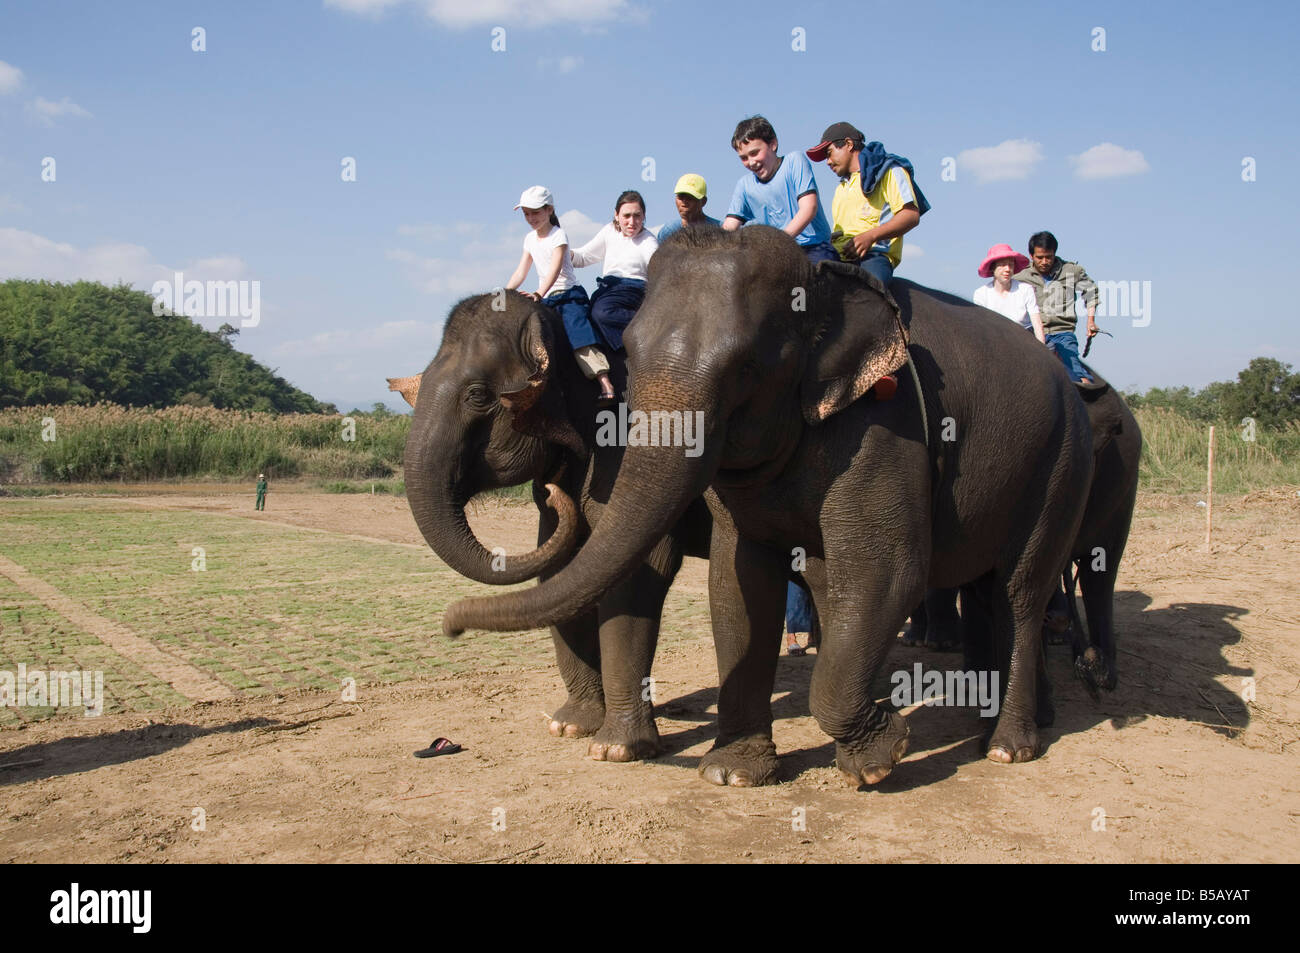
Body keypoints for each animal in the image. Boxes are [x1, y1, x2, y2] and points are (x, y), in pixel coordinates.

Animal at [400, 288, 712, 759]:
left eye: (477, 395)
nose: (449, 629)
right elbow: (560, 571)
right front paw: (570, 727)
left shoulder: (629, 444)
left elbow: (635, 572)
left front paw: (616, 750)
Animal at [441, 223, 1092, 790]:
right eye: (629, 354)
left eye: (747, 368)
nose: (450, 622)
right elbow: (737, 581)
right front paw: (730, 773)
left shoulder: (888, 423)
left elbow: (887, 571)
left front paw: (878, 758)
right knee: (973, 588)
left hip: (1060, 463)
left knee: (1019, 590)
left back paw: (1009, 747)